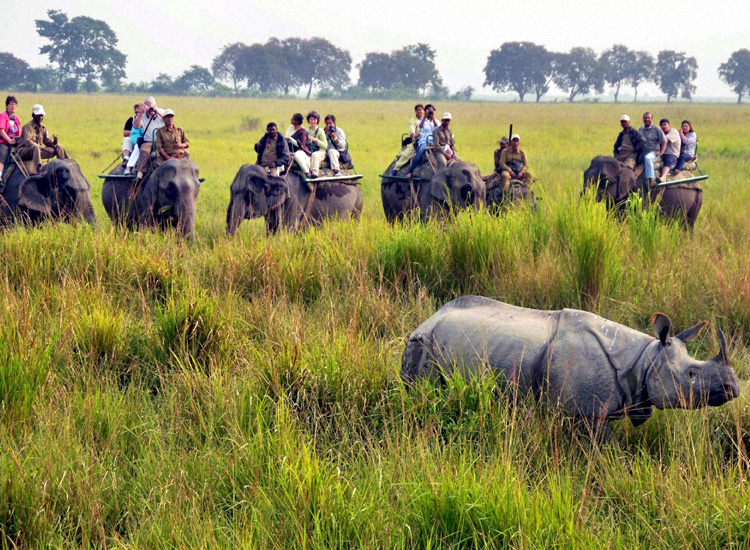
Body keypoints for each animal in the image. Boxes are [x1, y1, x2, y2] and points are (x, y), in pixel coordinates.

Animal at [226, 162, 364, 235]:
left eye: (249, 194)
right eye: (231, 191)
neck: (271, 175)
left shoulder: (293, 201)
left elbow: (287, 231)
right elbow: (271, 230)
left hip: (357, 206)